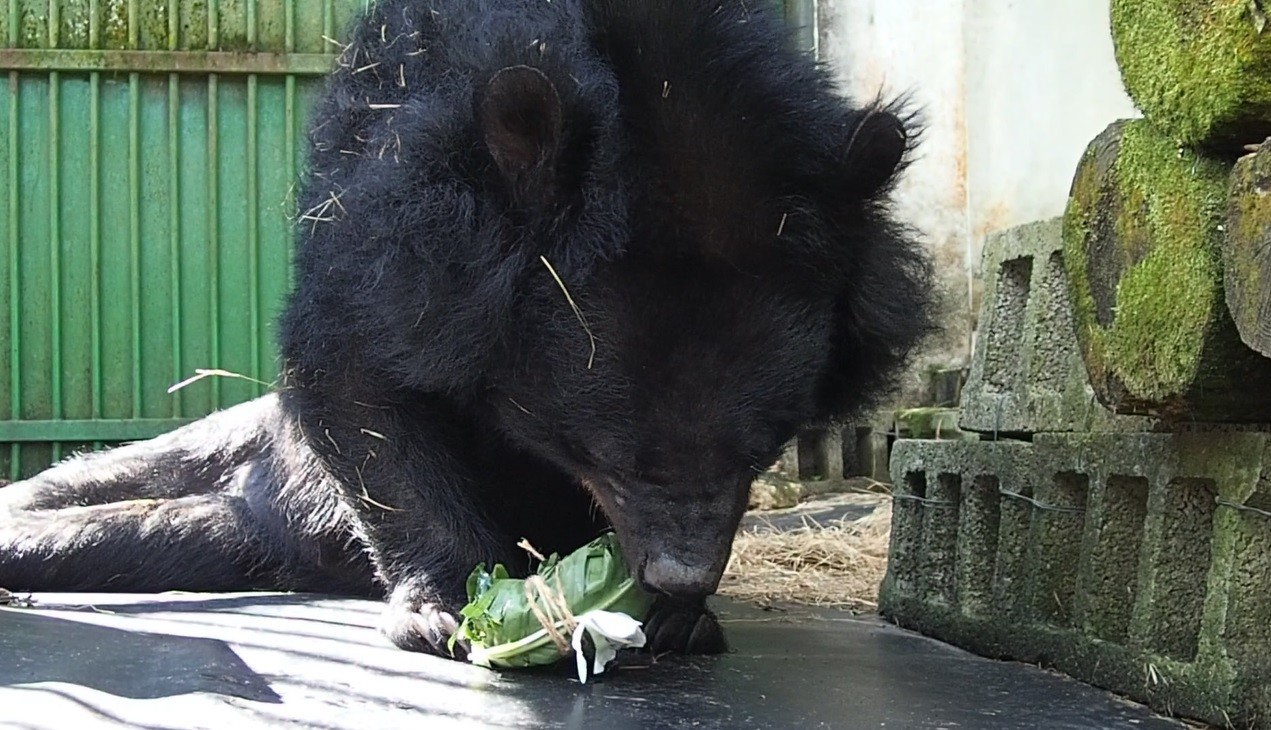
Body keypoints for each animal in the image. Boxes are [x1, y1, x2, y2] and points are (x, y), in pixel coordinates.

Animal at [0, 0, 935, 661]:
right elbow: (355, 370)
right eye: (611, 457)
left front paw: (681, 621)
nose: (678, 574)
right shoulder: (398, 210)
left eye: (760, 449)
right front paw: (445, 608)